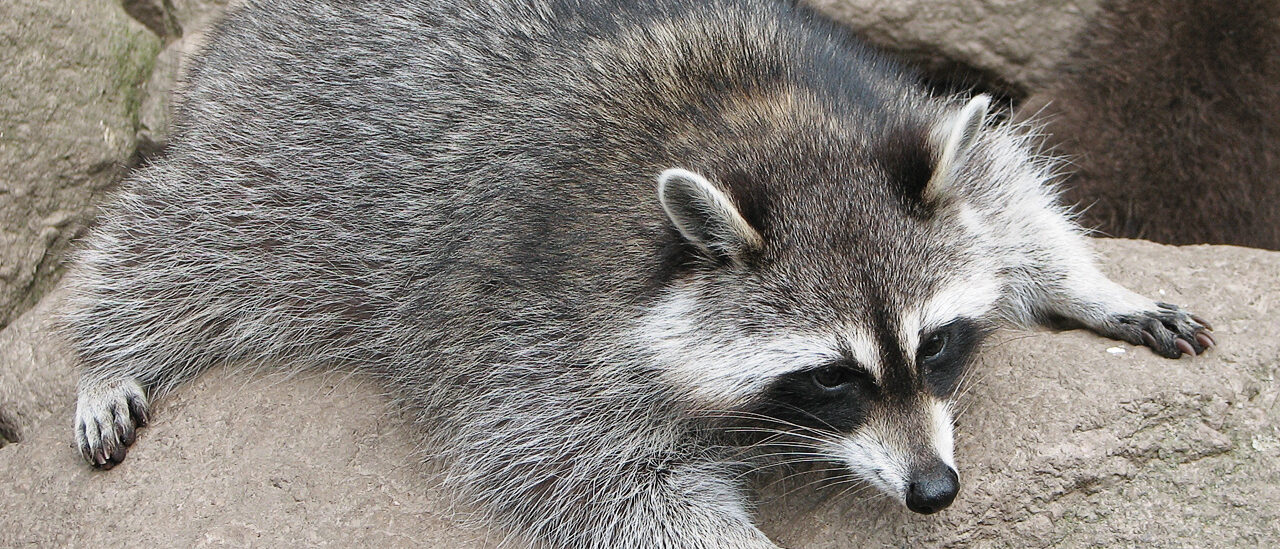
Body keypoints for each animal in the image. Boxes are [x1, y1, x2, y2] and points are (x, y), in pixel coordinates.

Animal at [67, 0, 1214, 547]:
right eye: (830, 378)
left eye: (936, 346)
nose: (934, 490)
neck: (768, 131)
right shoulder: (536, 326)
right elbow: (576, 468)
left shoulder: (889, 109)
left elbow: (1008, 197)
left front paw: (1087, 282)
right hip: (296, 167)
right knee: (191, 235)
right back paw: (105, 343)